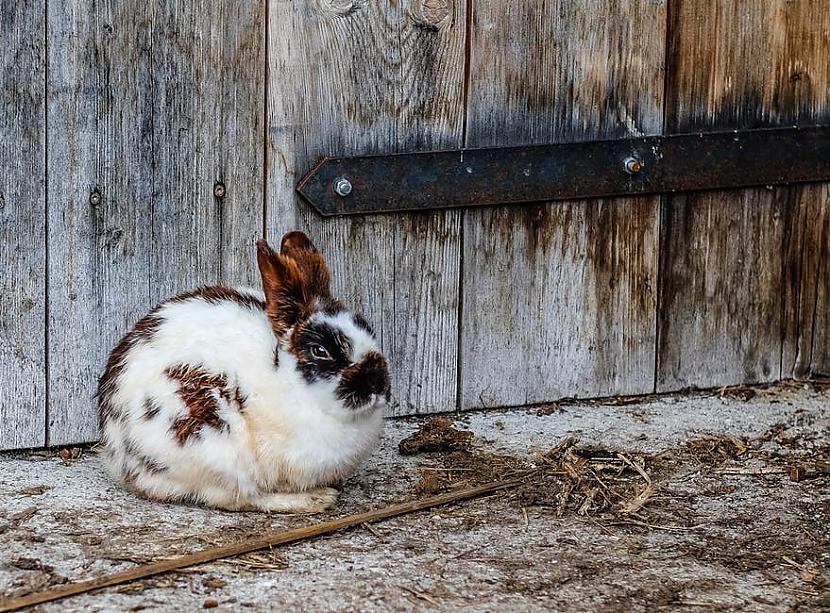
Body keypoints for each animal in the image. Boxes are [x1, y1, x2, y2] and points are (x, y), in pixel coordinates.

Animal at [96, 231, 390, 512]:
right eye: (320, 351)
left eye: (368, 329)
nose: (378, 382)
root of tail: (119, 455)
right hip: (214, 442)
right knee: (239, 497)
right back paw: (315, 499)